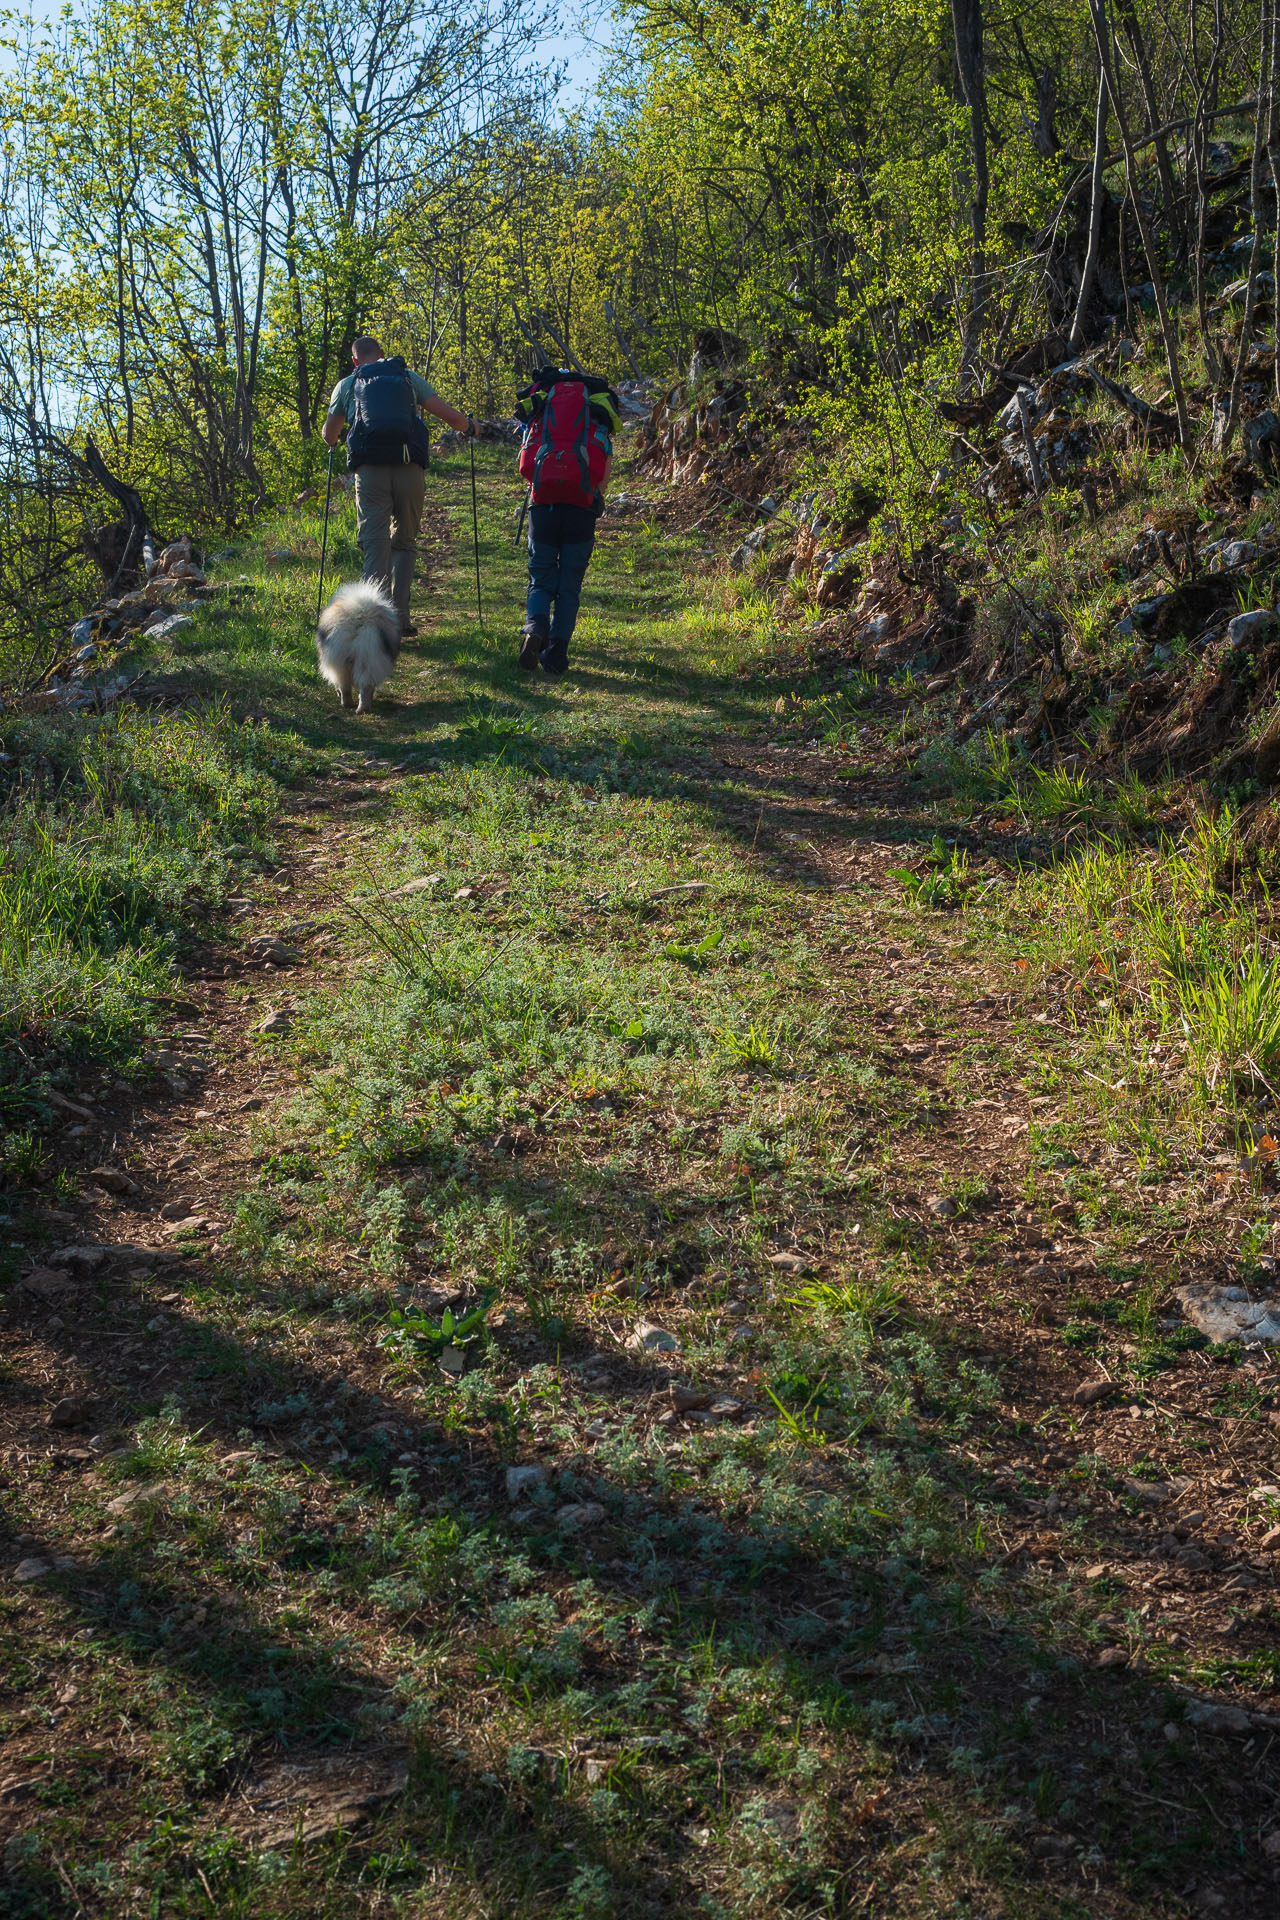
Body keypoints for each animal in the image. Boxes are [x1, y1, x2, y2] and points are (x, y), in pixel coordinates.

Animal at [314, 583, 401, 714]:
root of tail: (360, 620)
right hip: (366, 660)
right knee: (364, 686)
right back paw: (362, 708)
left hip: (343, 662)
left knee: (347, 685)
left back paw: (349, 703)